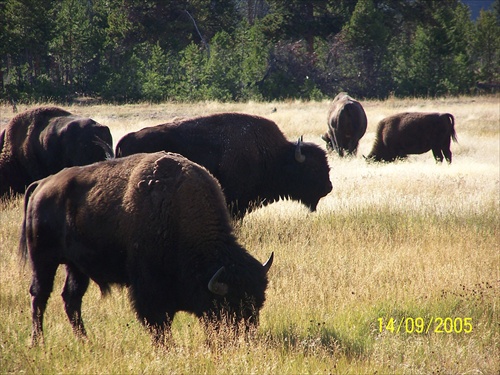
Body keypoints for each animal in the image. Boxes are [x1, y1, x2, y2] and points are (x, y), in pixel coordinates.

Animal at [19, 151, 274, 346]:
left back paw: (84, 340)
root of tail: (42, 185)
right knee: (39, 295)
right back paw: (37, 341)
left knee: (71, 298)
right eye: (229, 305)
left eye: (258, 302)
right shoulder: (148, 289)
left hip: (76, 266)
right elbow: (158, 322)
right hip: (43, 259)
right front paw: (166, 348)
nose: (245, 338)